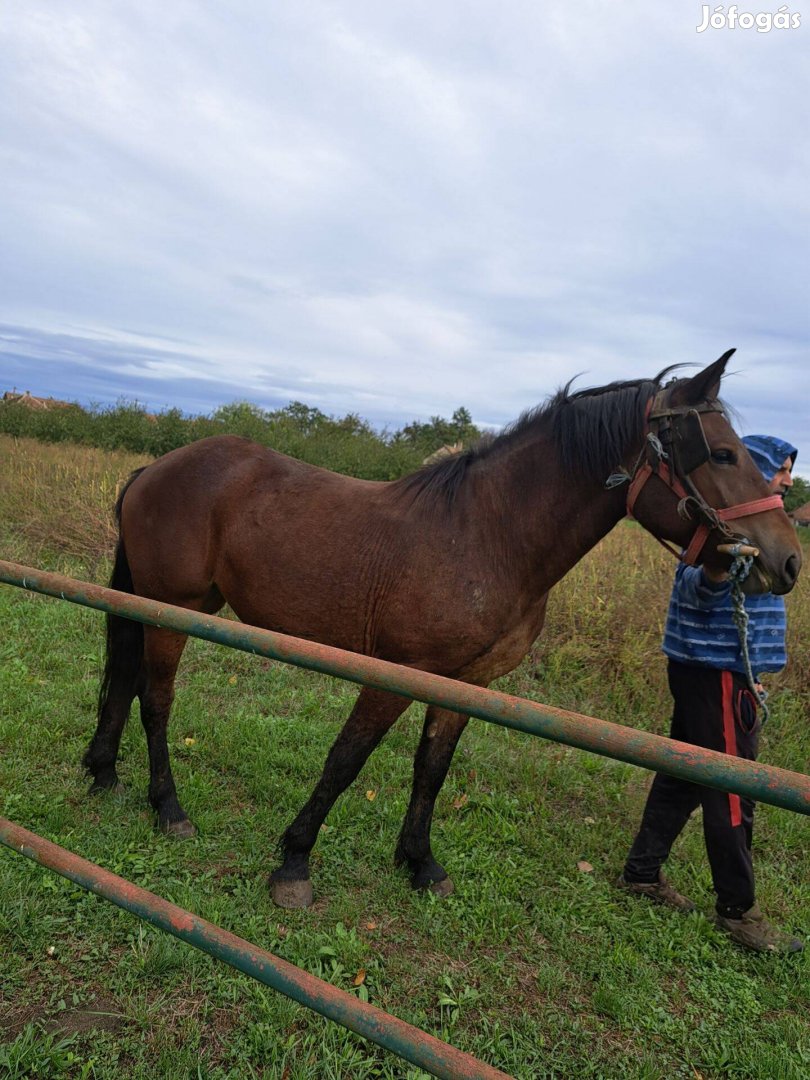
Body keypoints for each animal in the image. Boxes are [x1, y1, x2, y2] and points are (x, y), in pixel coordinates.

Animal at [84, 349, 807, 907]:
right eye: (722, 454)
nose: (787, 561)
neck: (488, 536)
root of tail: (156, 468)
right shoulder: (397, 673)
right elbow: (346, 759)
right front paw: (293, 863)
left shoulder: (466, 683)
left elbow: (431, 768)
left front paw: (420, 863)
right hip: (171, 611)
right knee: (156, 698)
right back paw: (168, 808)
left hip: (173, 606)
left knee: (126, 682)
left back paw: (105, 773)